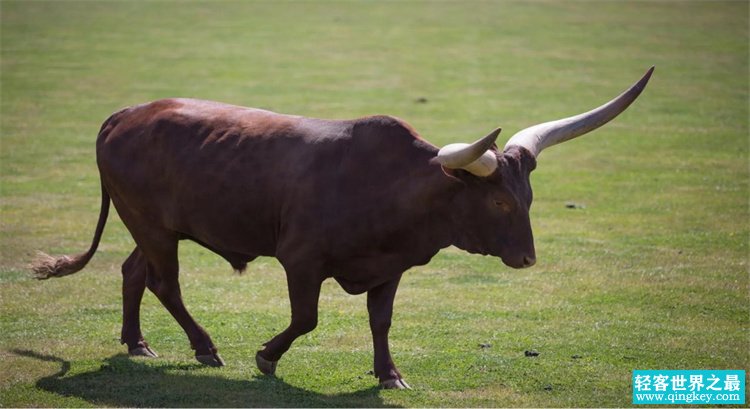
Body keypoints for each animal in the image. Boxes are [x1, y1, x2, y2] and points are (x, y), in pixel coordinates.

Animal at [32, 67, 652, 388]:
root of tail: (128, 113)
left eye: (527, 197)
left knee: (133, 271)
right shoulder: (301, 260)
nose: (527, 259)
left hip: (154, 226)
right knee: (164, 281)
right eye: (499, 202)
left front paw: (389, 374)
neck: (390, 187)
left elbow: (381, 320)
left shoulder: (390, 267)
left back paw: (137, 342)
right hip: (154, 227)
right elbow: (305, 319)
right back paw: (206, 348)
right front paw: (266, 356)